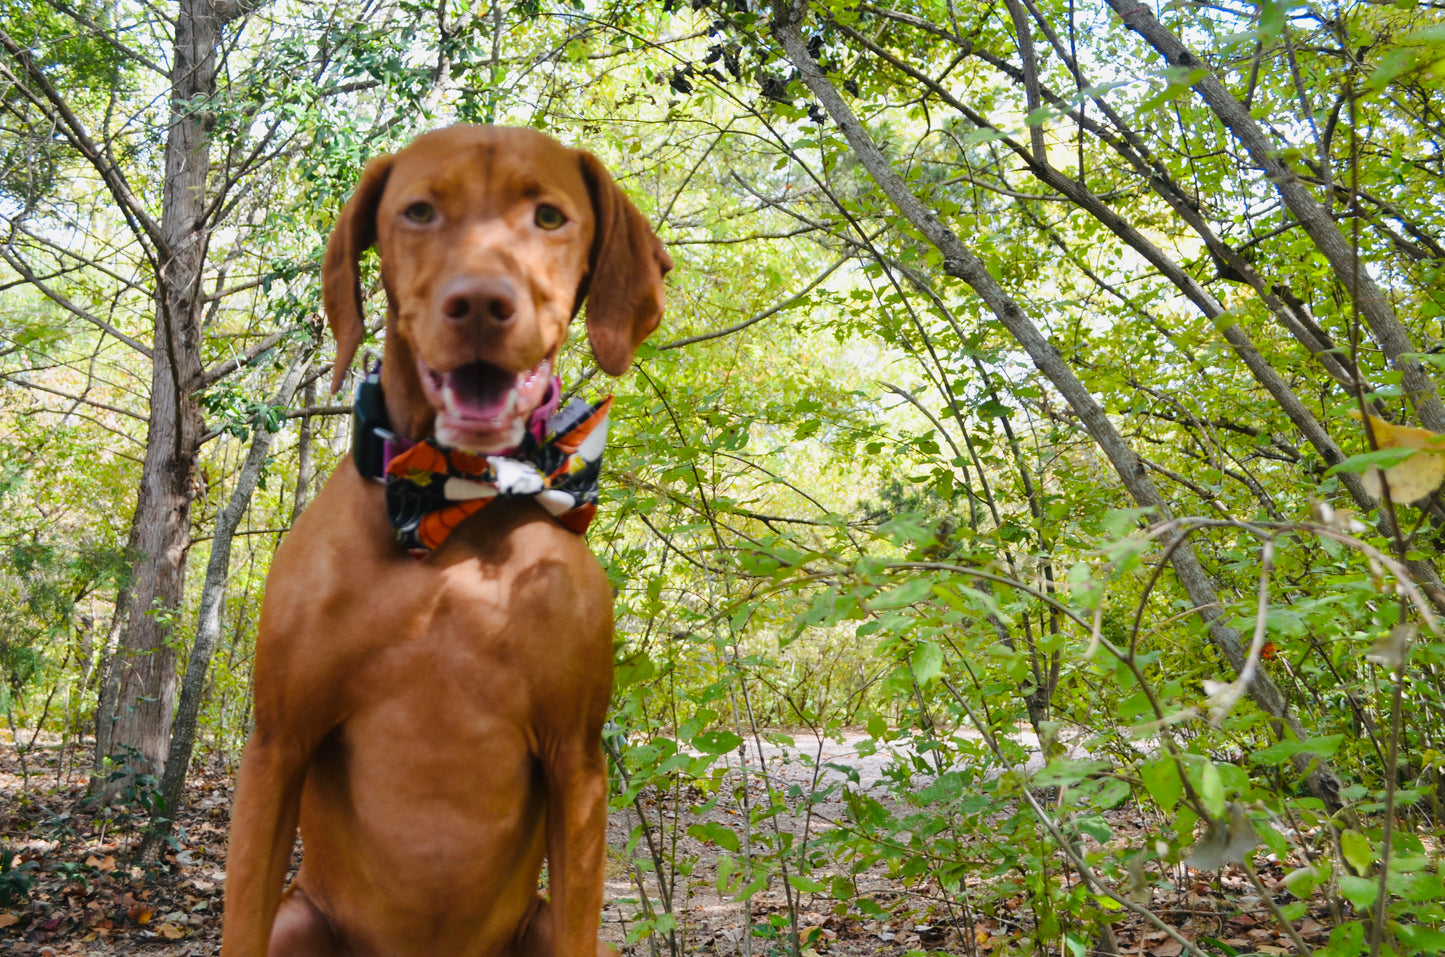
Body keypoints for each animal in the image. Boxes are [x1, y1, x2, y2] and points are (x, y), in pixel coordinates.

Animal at [222, 127, 673, 957]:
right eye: (420, 211)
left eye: (549, 216)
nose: (481, 304)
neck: (458, 503)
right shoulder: (277, 742)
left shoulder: (577, 762)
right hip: (299, 915)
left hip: (536, 919)